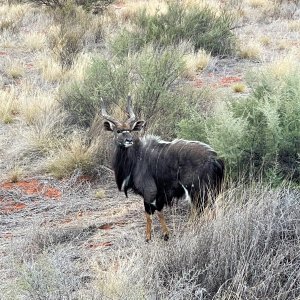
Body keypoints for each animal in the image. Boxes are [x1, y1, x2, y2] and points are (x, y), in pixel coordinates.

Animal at [102, 96, 224, 241]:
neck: (136, 157)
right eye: (118, 131)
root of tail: (215, 159)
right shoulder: (159, 195)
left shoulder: (150, 192)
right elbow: (159, 211)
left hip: (198, 191)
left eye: (130, 130)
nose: (129, 140)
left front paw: (149, 237)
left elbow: (149, 214)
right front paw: (166, 234)